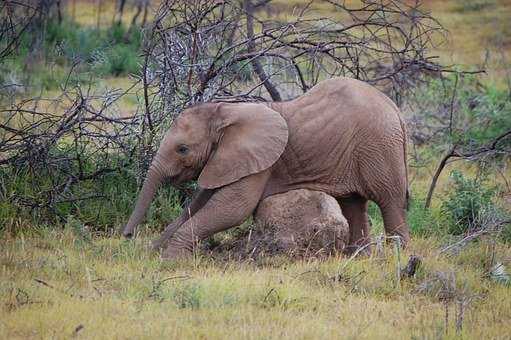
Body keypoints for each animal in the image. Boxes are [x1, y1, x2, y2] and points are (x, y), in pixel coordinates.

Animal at [121, 77, 412, 258]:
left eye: (182, 149)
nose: (127, 236)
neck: (226, 111)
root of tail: (395, 108)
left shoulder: (260, 162)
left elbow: (232, 209)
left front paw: (170, 259)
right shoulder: (226, 159)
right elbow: (199, 204)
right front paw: (154, 251)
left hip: (380, 148)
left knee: (389, 202)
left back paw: (399, 257)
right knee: (353, 205)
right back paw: (358, 257)